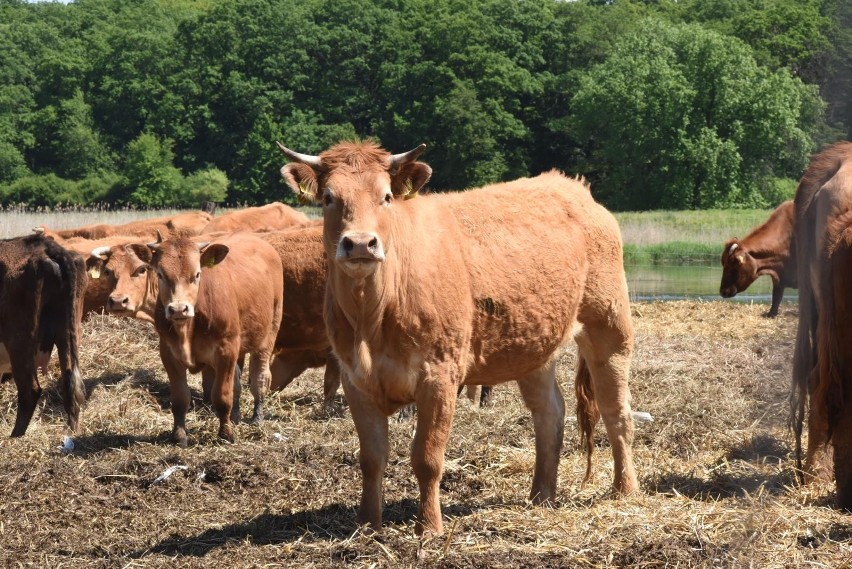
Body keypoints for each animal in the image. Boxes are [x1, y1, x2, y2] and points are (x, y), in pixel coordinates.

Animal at [0, 233, 87, 438]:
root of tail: (45, 245)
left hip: (19, 342)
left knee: (30, 391)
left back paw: (15, 437)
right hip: (68, 334)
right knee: (71, 384)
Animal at [135, 233, 282, 442]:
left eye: (197, 274)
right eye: (160, 274)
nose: (178, 309)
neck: (187, 329)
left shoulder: (226, 351)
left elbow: (222, 396)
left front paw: (225, 434)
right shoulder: (168, 353)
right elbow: (180, 398)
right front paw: (179, 435)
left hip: (268, 334)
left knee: (259, 377)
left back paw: (256, 417)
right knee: (237, 381)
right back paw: (235, 416)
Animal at [280, 140, 640, 536]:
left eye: (386, 196)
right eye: (329, 197)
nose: (360, 244)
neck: (371, 319)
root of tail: (573, 187)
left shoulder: (439, 375)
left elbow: (427, 457)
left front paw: (429, 526)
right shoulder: (355, 379)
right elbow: (372, 458)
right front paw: (368, 525)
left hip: (609, 326)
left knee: (616, 411)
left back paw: (625, 489)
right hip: (533, 347)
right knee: (549, 414)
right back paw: (541, 495)